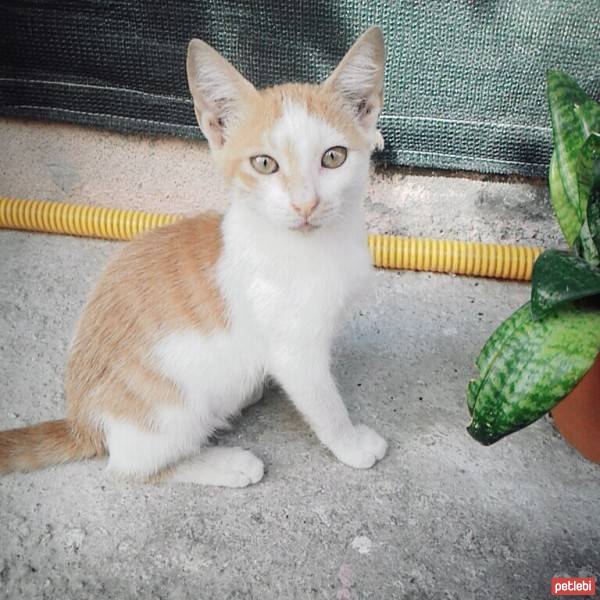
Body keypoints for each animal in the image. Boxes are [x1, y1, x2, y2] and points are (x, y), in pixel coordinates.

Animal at [0, 29, 386, 488]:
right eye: (264, 163)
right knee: (134, 467)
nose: (305, 204)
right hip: (170, 408)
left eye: (333, 157)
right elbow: (323, 403)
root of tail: (82, 423)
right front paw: (351, 444)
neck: (314, 245)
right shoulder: (295, 351)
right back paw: (227, 463)